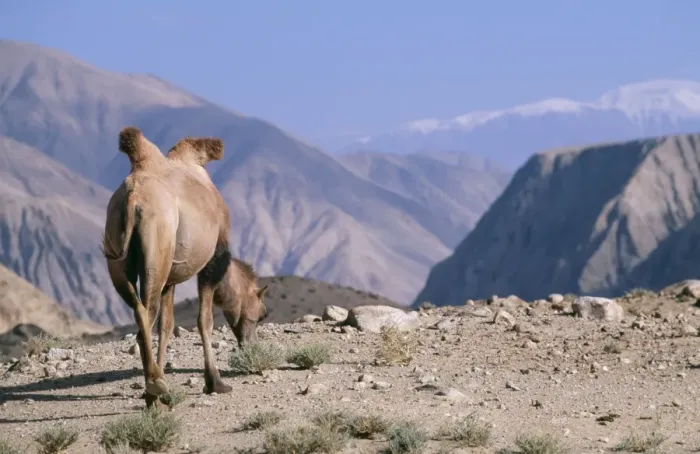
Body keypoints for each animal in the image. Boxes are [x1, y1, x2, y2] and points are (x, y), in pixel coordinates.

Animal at [103, 127, 235, 404]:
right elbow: (204, 320)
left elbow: (167, 326)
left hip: (117, 249)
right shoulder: (215, 257)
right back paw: (155, 386)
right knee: (146, 313)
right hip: (157, 246)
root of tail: (132, 198)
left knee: (140, 310)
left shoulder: (171, 279)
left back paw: (155, 387)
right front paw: (215, 382)